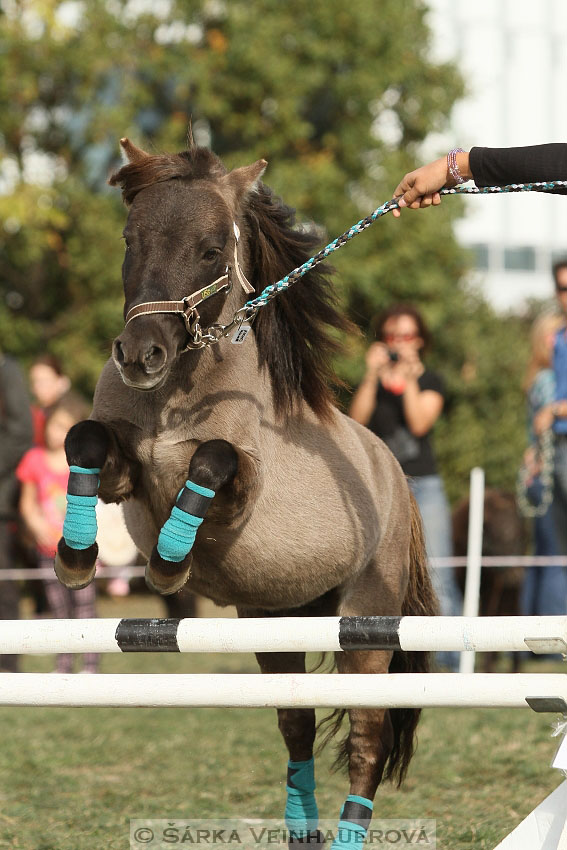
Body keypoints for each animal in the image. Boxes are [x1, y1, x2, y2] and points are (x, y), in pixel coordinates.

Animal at [53, 137, 438, 840]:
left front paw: (170, 563)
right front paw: (75, 555)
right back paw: (302, 832)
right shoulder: (122, 470)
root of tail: (393, 474)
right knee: (296, 725)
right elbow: (85, 441)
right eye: (129, 238)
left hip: (365, 628)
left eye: (210, 250)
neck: (176, 394)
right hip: (272, 623)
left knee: (367, 739)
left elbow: (209, 462)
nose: (139, 354)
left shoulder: (239, 490)